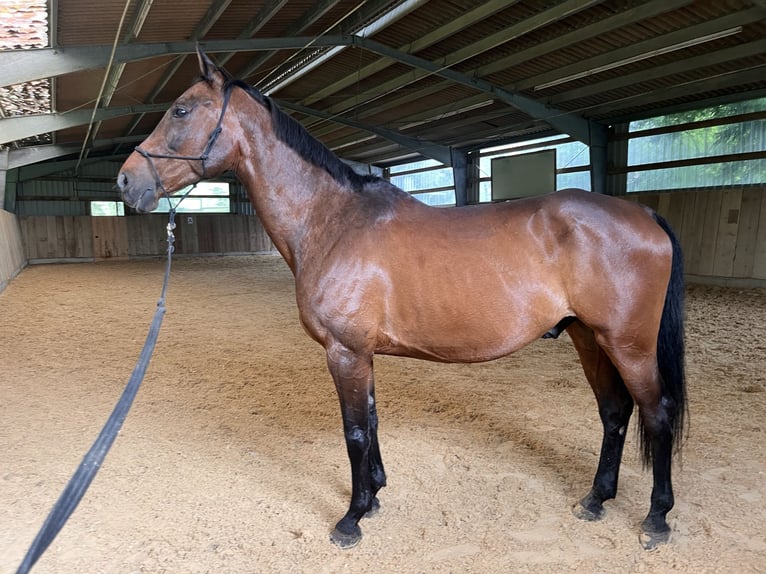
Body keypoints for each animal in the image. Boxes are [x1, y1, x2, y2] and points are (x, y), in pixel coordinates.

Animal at [118, 47, 687, 551]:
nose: (126, 181)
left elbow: (353, 432)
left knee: (656, 413)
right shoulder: (361, 353)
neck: (333, 221)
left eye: (181, 109)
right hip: (589, 338)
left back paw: (656, 519)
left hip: (628, 345)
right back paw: (595, 500)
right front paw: (374, 496)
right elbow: (370, 420)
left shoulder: (344, 351)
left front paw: (350, 519)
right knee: (614, 412)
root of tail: (643, 214)